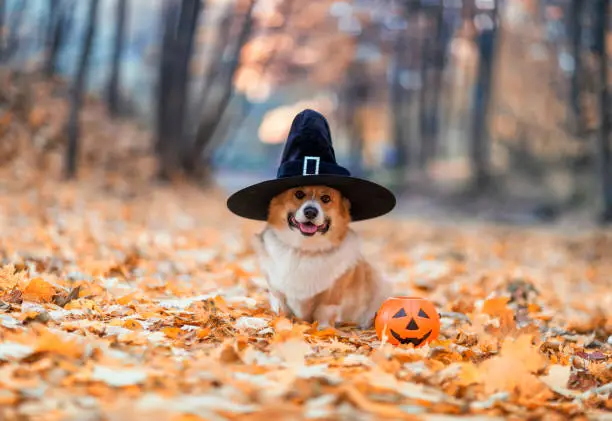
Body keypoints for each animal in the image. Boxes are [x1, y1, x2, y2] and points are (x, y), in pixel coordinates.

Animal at [252, 185, 392, 328]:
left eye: (326, 198)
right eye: (299, 194)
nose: (310, 212)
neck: (305, 249)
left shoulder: (331, 295)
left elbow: (324, 311)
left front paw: (324, 329)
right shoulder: (277, 291)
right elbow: (282, 309)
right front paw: (283, 323)